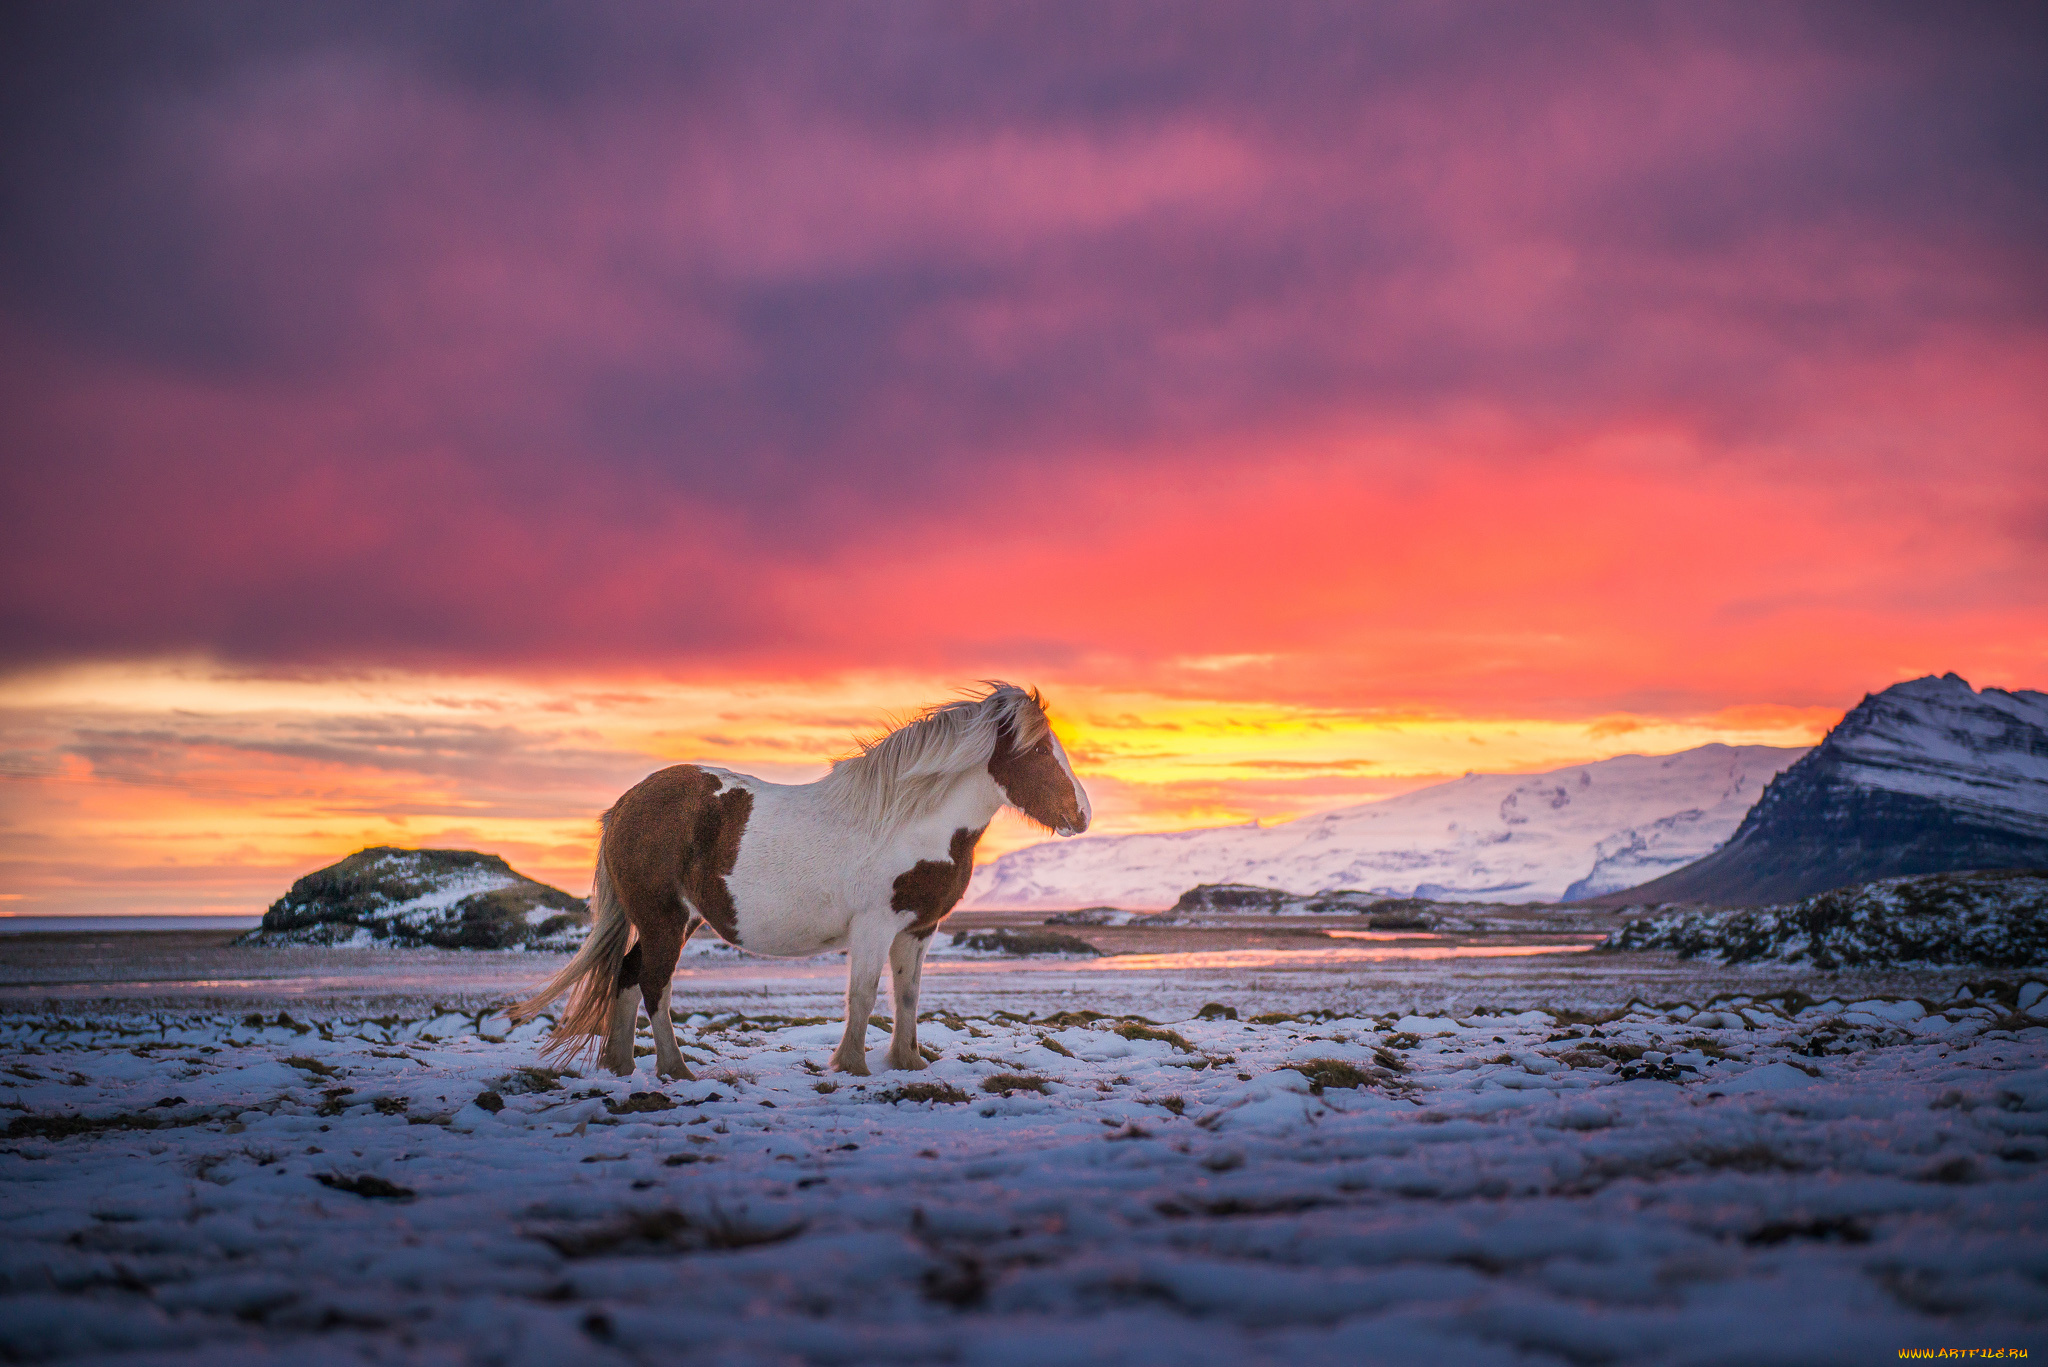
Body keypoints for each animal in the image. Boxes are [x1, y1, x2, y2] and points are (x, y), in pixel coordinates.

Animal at [509, 684, 1089, 1082]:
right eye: (1041, 752)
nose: (1081, 814)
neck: (911, 820)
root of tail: (628, 803)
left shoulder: (917, 930)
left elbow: (907, 996)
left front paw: (907, 1063)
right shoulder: (874, 926)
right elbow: (863, 996)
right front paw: (852, 1066)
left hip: (674, 920)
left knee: (629, 976)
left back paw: (621, 1068)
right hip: (662, 919)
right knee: (653, 983)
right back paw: (675, 1070)